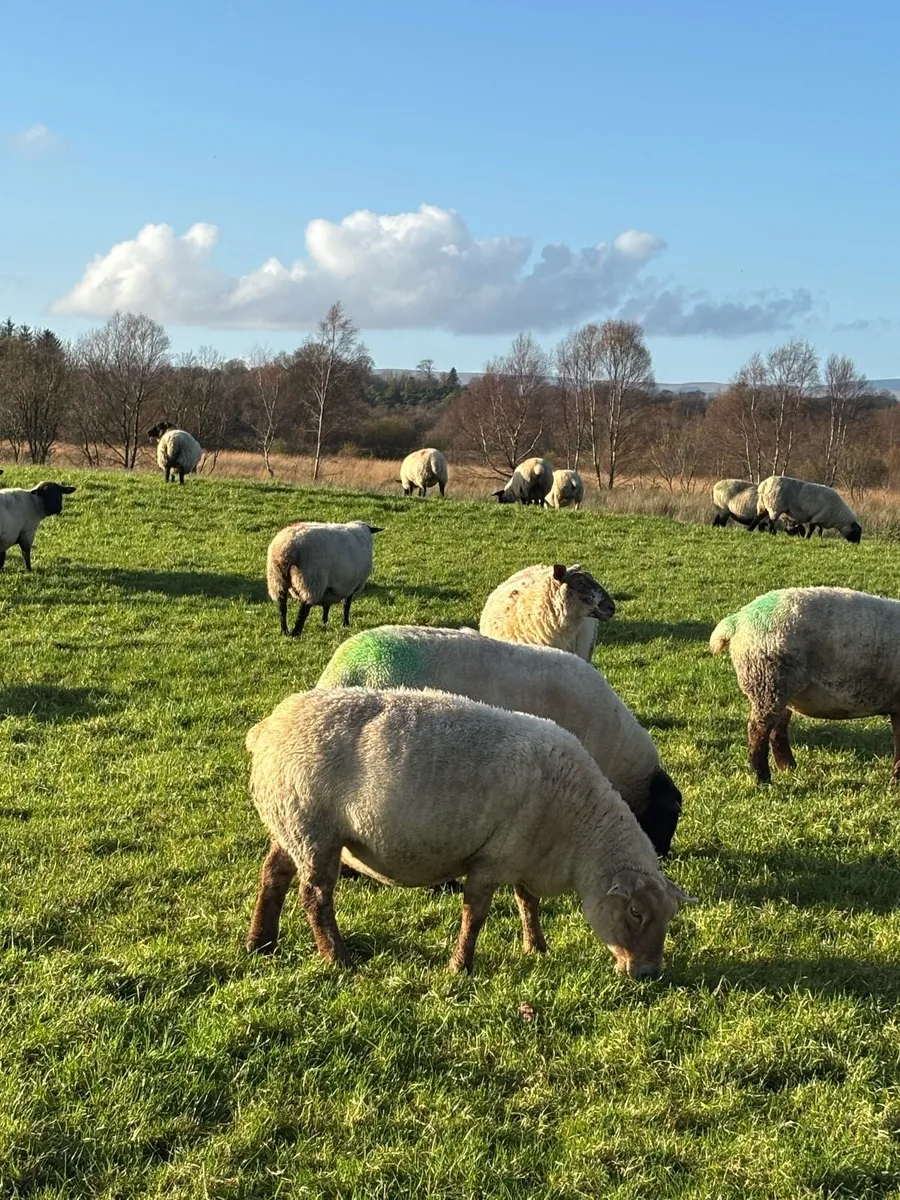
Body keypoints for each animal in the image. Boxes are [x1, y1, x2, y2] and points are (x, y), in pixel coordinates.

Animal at [245, 686, 695, 975]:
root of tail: (268, 727)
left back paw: (261, 942)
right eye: (635, 913)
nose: (649, 974)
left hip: (290, 824)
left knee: (273, 875)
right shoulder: (491, 858)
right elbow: (475, 915)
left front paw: (536, 947)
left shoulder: (521, 856)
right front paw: (460, 967)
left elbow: (527, 902)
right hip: (313, 828)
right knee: (315, 897)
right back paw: (337, 959)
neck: (576, 826)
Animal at [710, 586, 900, 784]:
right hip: (769, 682)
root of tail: (738, 620)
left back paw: (788, 767)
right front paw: (895, 781)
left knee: (777, 730)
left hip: (780, 690)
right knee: (758, 730)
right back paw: (762, 777)